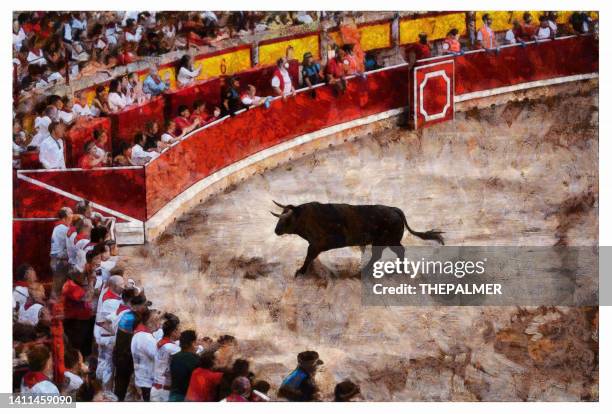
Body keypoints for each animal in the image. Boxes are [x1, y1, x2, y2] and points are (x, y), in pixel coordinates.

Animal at [270, 201, 442, 276]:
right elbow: (309, 257)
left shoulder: (315, 245)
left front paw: (301, 271)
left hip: (387, 241)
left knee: (397, 251)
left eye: (286, 220)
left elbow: (308, 257)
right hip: (383, 242)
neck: (304, 218)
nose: (276, 231)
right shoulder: (314, 246)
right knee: (384, 254)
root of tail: (394, 209)